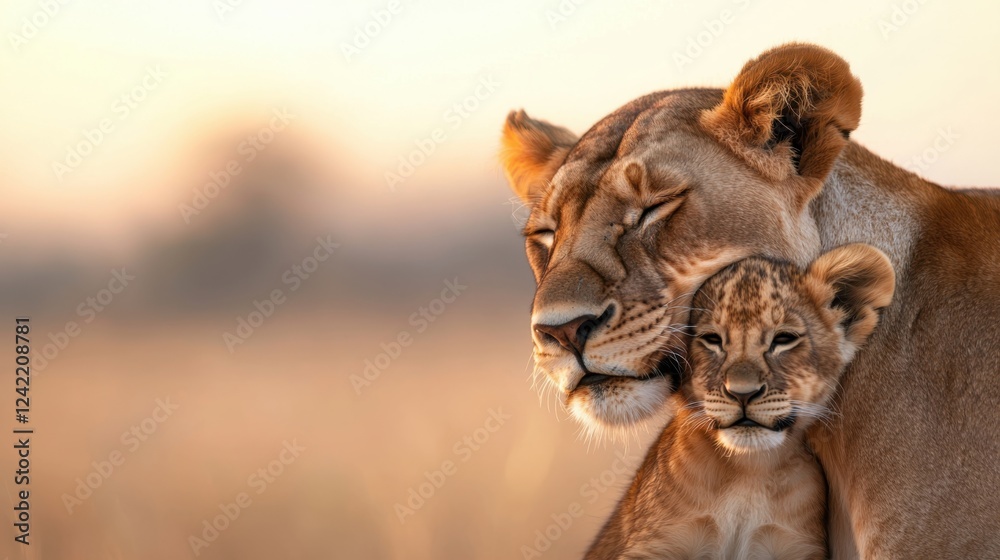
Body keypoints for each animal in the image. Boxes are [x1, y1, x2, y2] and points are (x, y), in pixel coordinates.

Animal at [585, 245, 895, 559]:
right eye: (712, 339)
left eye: (784, 339)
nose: (742, 393)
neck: (749, 471)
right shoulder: (654, 543)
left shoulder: (796, 545)